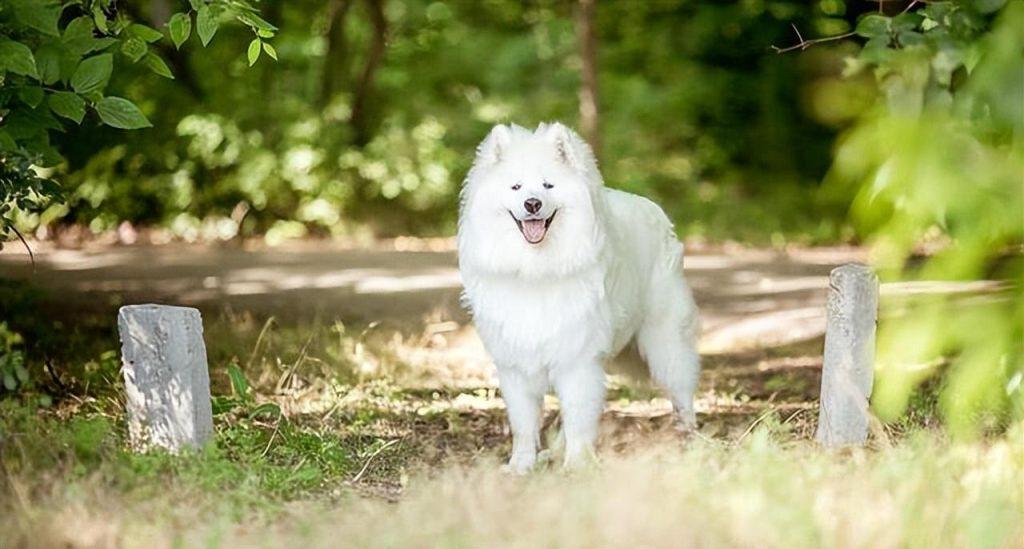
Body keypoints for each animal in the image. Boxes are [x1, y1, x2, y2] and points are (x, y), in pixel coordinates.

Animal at [460, 121, 700, 471]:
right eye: (516, 187)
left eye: (548, 185)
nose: (533, 203)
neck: (534, 270)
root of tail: (654, 209)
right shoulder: (515, 366)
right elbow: (523, 424)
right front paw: (521, 465)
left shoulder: (578, 360)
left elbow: (578, 418)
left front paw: (576, 465)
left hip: (666, 342)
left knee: (682, 389)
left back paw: (690, 436)